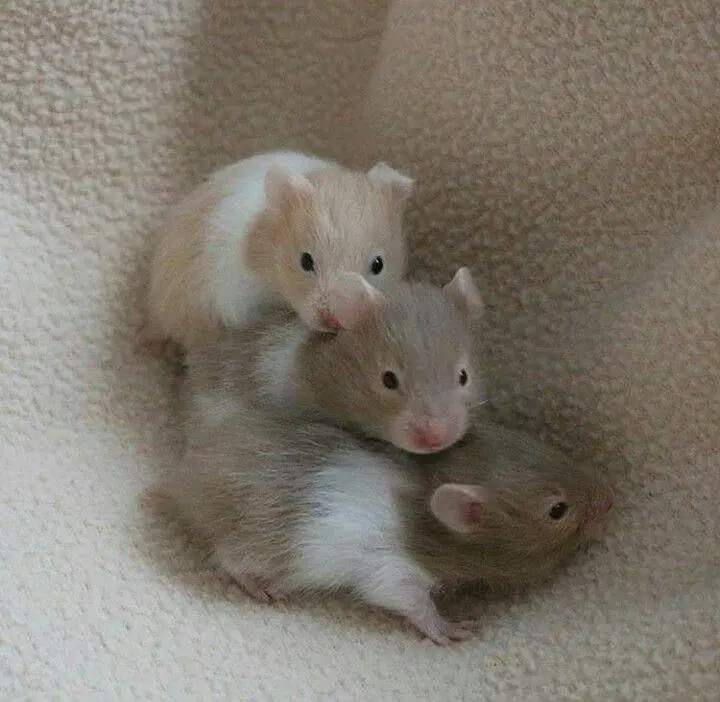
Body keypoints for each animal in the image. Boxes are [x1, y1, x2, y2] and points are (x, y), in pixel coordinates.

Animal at [149, 405, 614, 646]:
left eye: (545, 446)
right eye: (557, 510)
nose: (612, 498)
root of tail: (181, 479)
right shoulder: (395, 572)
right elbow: (412, 603)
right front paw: (450, 629)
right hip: (258, 546)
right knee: (228, 559)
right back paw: (261, 587)